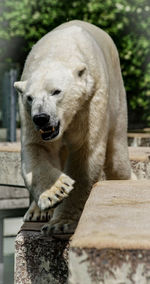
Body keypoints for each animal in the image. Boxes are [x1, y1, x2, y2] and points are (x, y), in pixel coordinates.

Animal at [14, 20, 131, 235]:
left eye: (56, 91)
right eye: (30, 97)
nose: (41, 118)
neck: (58, 50)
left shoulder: (90, 100)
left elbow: (84, 152)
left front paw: (60, 223)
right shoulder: (26, 114)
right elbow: (37, 148)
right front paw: (55, 192)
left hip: (117, 98)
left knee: (117, 159)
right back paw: (36, 211)